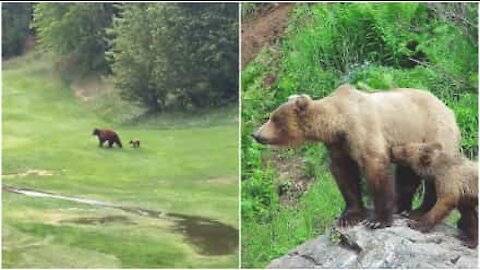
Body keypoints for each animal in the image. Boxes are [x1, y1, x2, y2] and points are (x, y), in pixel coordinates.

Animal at [251, 84, 462, 228]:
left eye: (274, 118)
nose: (256, 134)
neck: (337, 122)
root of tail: (449, 109)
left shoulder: (363, 130)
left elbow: (375, 167)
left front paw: (378, 220)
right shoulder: (338, 144)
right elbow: (344, 174)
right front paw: (349, 216)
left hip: (433, 132)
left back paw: (419, 211)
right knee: (407, 175)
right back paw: (401, 207)